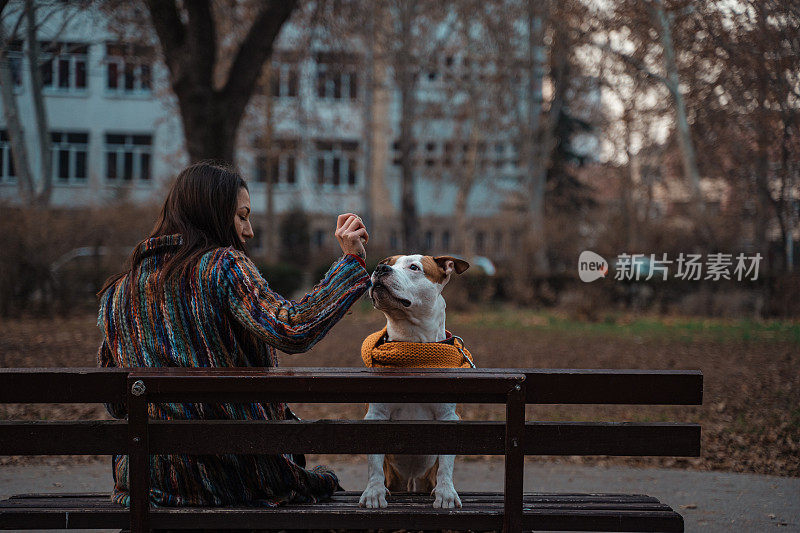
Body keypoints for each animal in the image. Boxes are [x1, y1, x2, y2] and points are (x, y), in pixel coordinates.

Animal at [360, 256, 472, 510]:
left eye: (414, 267)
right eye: (388, 262)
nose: (380, 268)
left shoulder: (447, 417)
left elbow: (446, 465)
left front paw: (445, 493)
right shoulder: (376, 415)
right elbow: (373, 464)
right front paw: (374, 492)